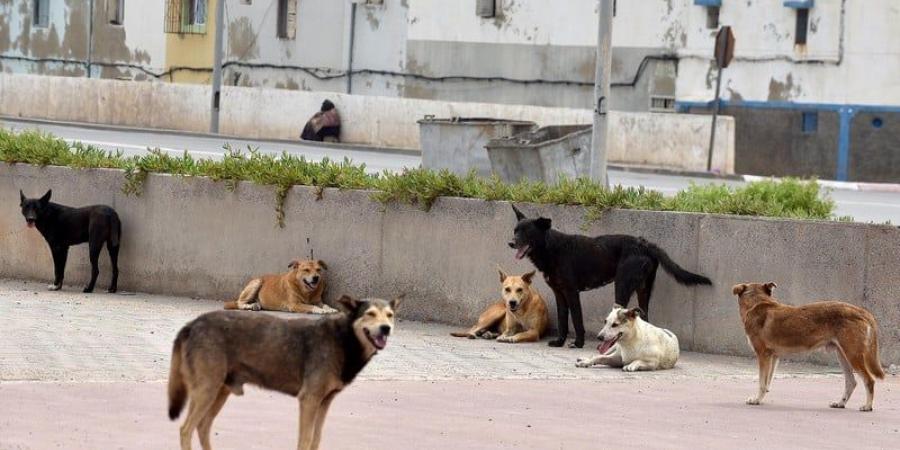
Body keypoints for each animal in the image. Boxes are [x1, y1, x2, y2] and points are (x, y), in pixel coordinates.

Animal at [506, 204, 712, 348]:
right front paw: (559, 342)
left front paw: (578, 343)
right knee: (644, 317)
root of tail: (644, 244)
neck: (552, 248)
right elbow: (563, 320)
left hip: (622, 286)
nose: (510, 243)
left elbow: (577, 319)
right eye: (515, 230)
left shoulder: (572, 292)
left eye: (527, 232)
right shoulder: (559, 294)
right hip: (643, 290)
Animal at [736, 284, 884, 414]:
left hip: (852, 355)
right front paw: (761, 398)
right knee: (851, 382)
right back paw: (840, 403)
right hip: (843, 356)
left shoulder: (763, 355)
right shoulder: (773, 357)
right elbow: (767, 383)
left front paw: (756, 400)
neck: (756, 303)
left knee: (869, 380)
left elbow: (762, 383)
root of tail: (862, 311)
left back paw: (867, 406)